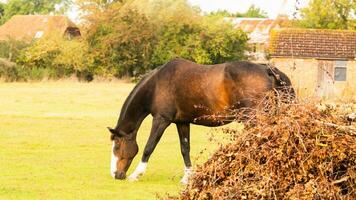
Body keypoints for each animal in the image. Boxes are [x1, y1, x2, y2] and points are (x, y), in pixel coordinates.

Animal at [107, 58, 294, 184]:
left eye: (117, 146)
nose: (115, 174)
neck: (156, 84)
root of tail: (267, 69)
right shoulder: (182, 122)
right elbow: (185, 149)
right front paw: (187, 177)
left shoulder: (161, 120)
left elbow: (149, 147)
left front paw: (136, 174)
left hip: (254, 119)